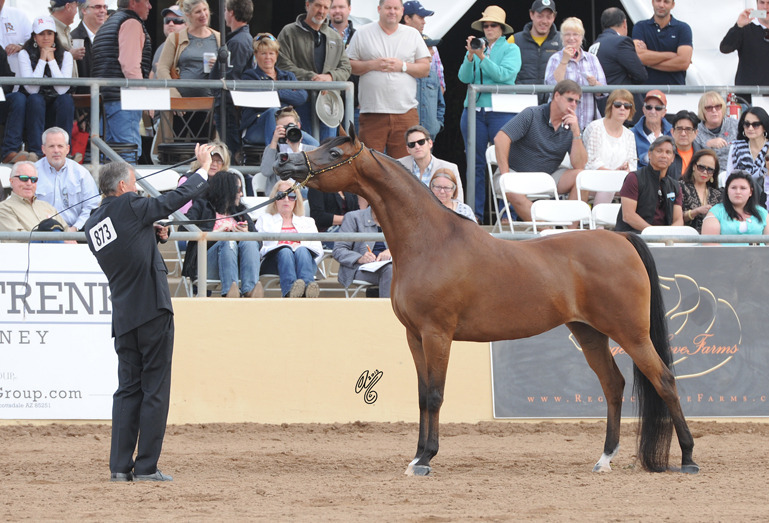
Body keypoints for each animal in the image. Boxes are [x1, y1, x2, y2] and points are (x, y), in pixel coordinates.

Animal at [273, 127, 699, 477]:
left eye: (333, 152)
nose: (283, 162)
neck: (431, 241)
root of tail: (620, 238)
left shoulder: (437, 334)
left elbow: (435, 394)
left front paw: (426, 459)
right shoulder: (414, 336)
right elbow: (421, 396)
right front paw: (416, 456)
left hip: (630, 333)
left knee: (664, 380)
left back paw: (688, 458)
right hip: (590, 333)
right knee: (613, 385)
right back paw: (605, 458)